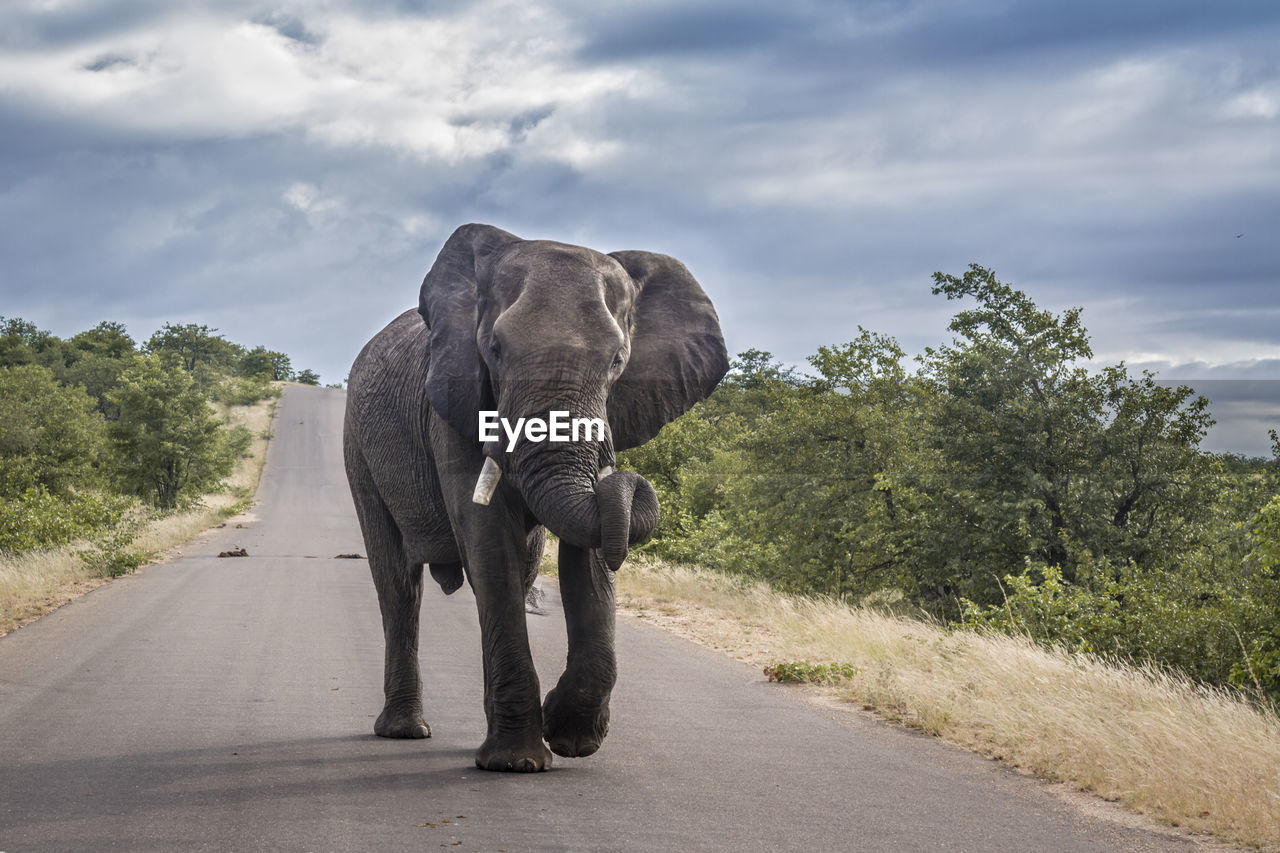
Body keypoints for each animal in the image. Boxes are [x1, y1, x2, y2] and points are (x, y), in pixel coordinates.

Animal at [345, 222, 727, 768]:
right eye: (495, 349)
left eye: (618, 361)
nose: (635, 480)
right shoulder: (454, 403)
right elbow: (488, 543)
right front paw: (516, 762)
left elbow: (585, 552)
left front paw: (569, 738)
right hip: (358, 446)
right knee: (398, 585)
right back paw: (404, 731)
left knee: (518, 568)